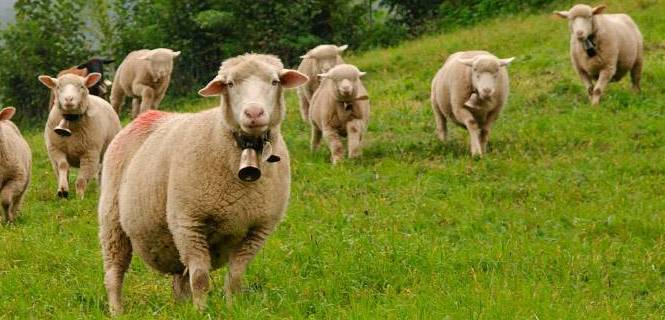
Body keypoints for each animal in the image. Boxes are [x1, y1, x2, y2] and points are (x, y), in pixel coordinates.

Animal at [98, 53, 308, 316]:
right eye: (230, 84)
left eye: (274, 81)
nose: (254, 113)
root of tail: (144, 117)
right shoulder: (189, 222)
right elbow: (199, 278)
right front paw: (201, 312)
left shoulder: (258, 228)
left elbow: (235, 276)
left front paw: (231, 307)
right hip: (113, 222)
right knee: (114, 274)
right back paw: (117, 310)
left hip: (171, 238)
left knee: (179, 277)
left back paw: (182, 307)